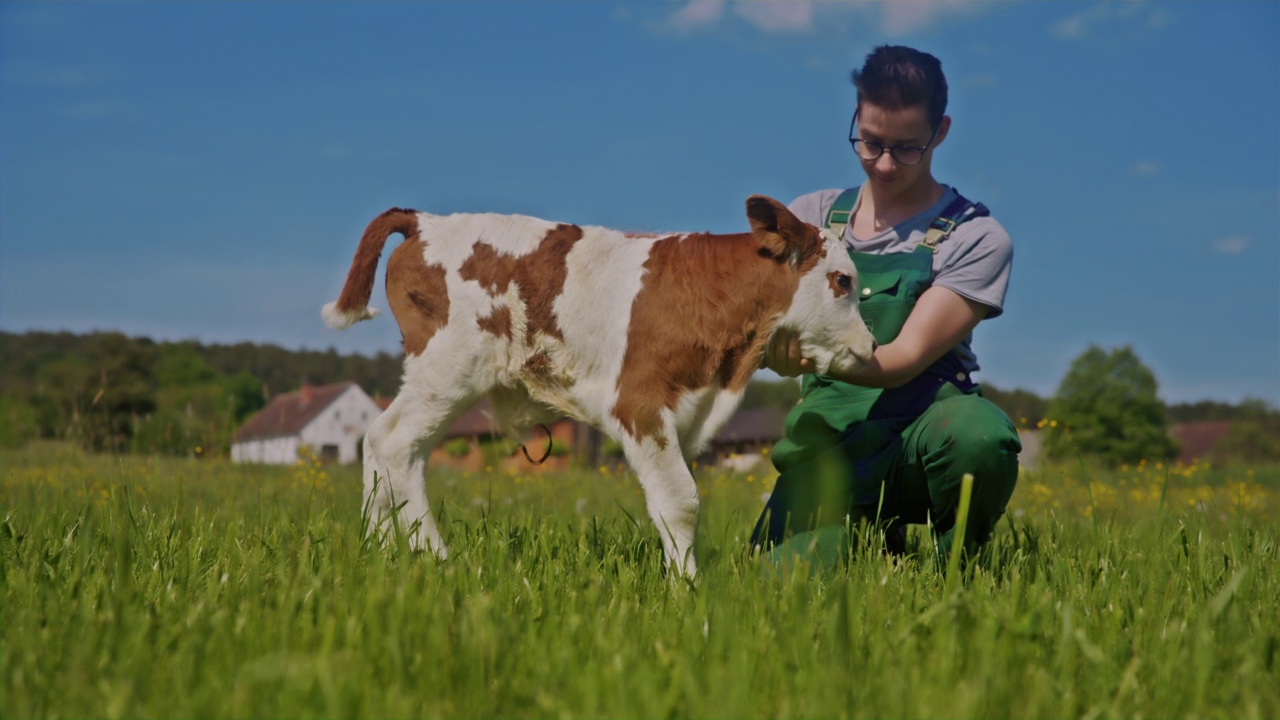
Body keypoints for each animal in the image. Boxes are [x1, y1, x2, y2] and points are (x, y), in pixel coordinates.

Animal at [325, 194, 875, 571]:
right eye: (842, 281)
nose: (870, 347)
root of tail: (424, 221)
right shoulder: (639, 403)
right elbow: (680, 501)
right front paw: (687, 592)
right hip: (448, 367)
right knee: (396, 444)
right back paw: (441, 561)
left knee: (379, 443)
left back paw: (380, 549)